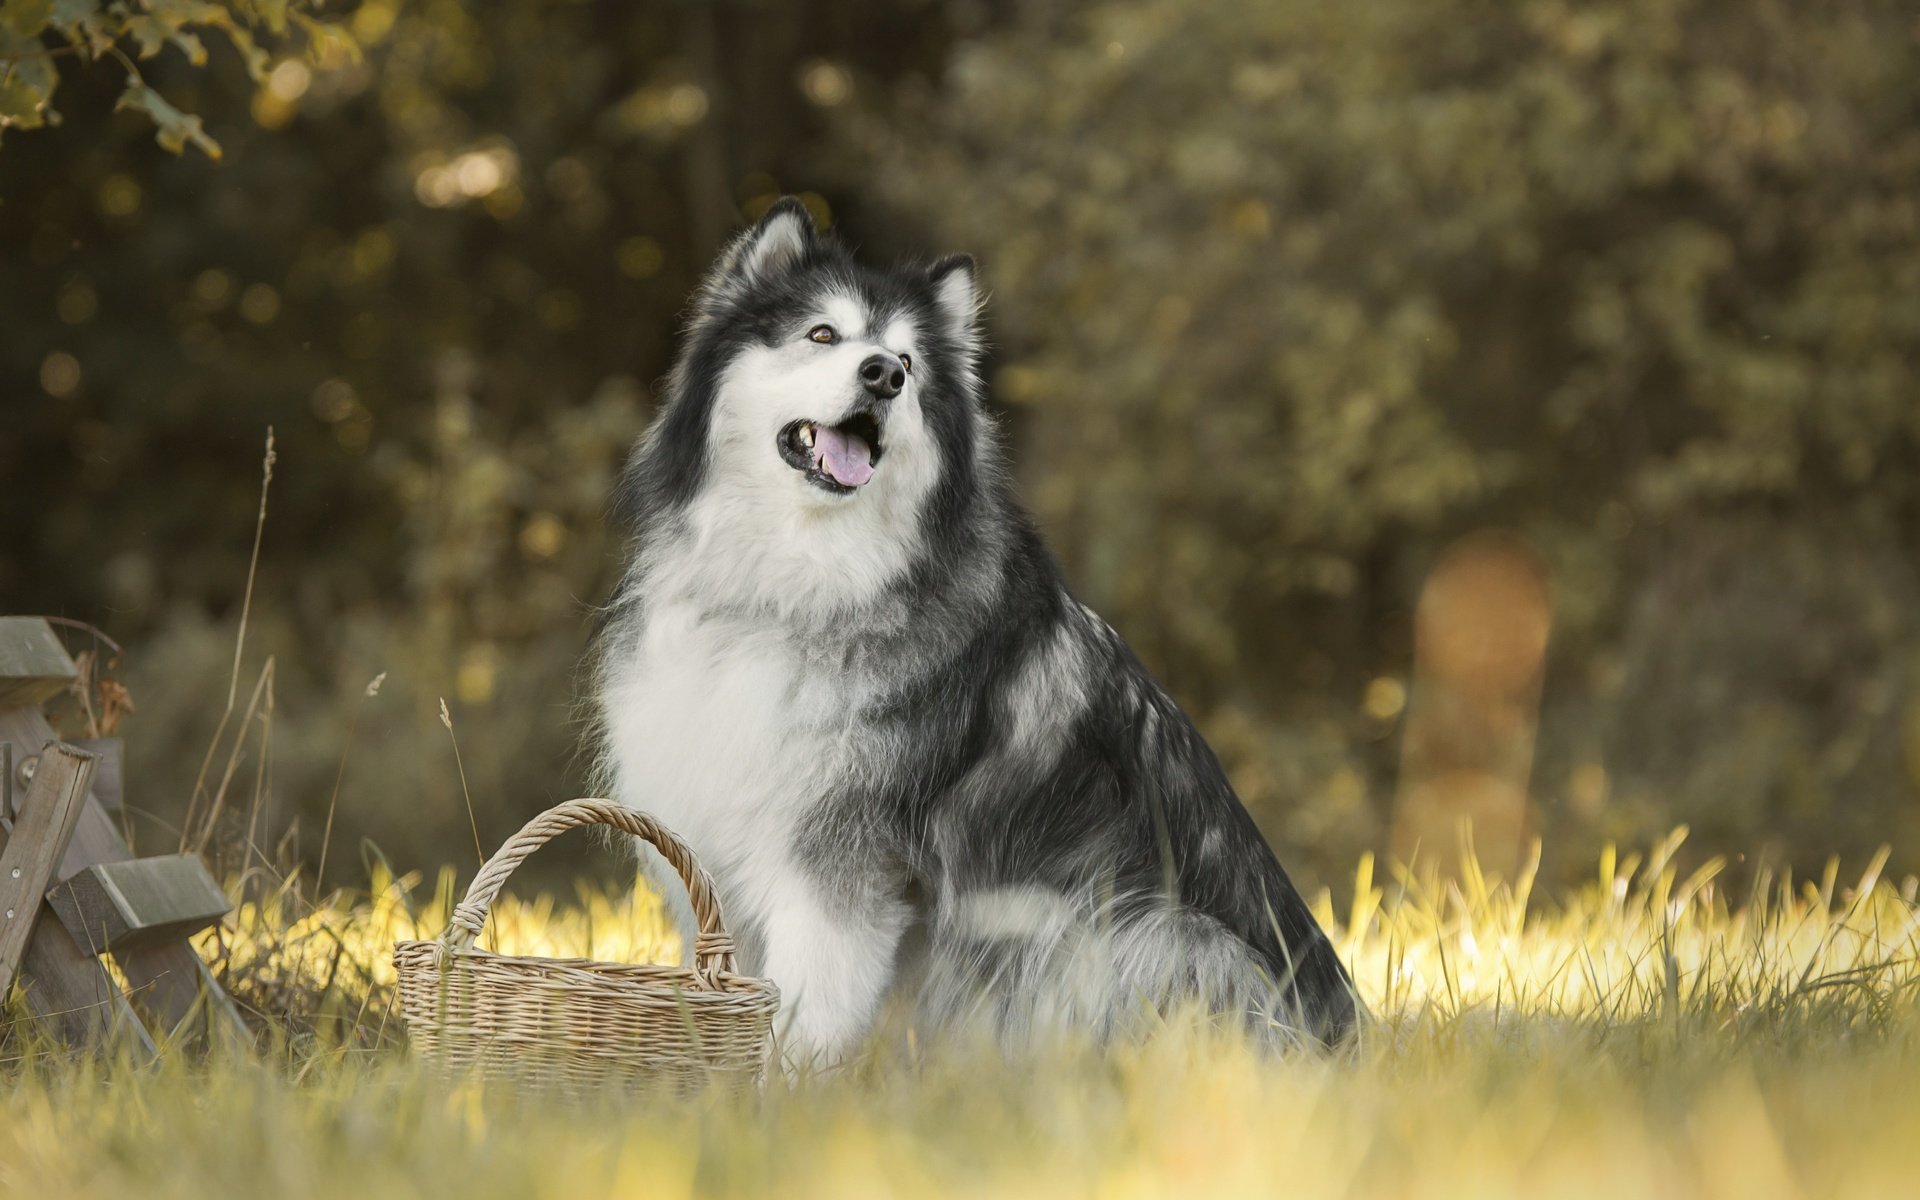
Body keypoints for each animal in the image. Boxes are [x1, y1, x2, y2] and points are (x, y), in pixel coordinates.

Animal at [591, 198, 1359, 1067]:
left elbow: (804, 1015)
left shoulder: (838, 872)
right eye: (823, 334)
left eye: (907, 361)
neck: (806, 582)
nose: (883, 376)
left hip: (1146, 934)